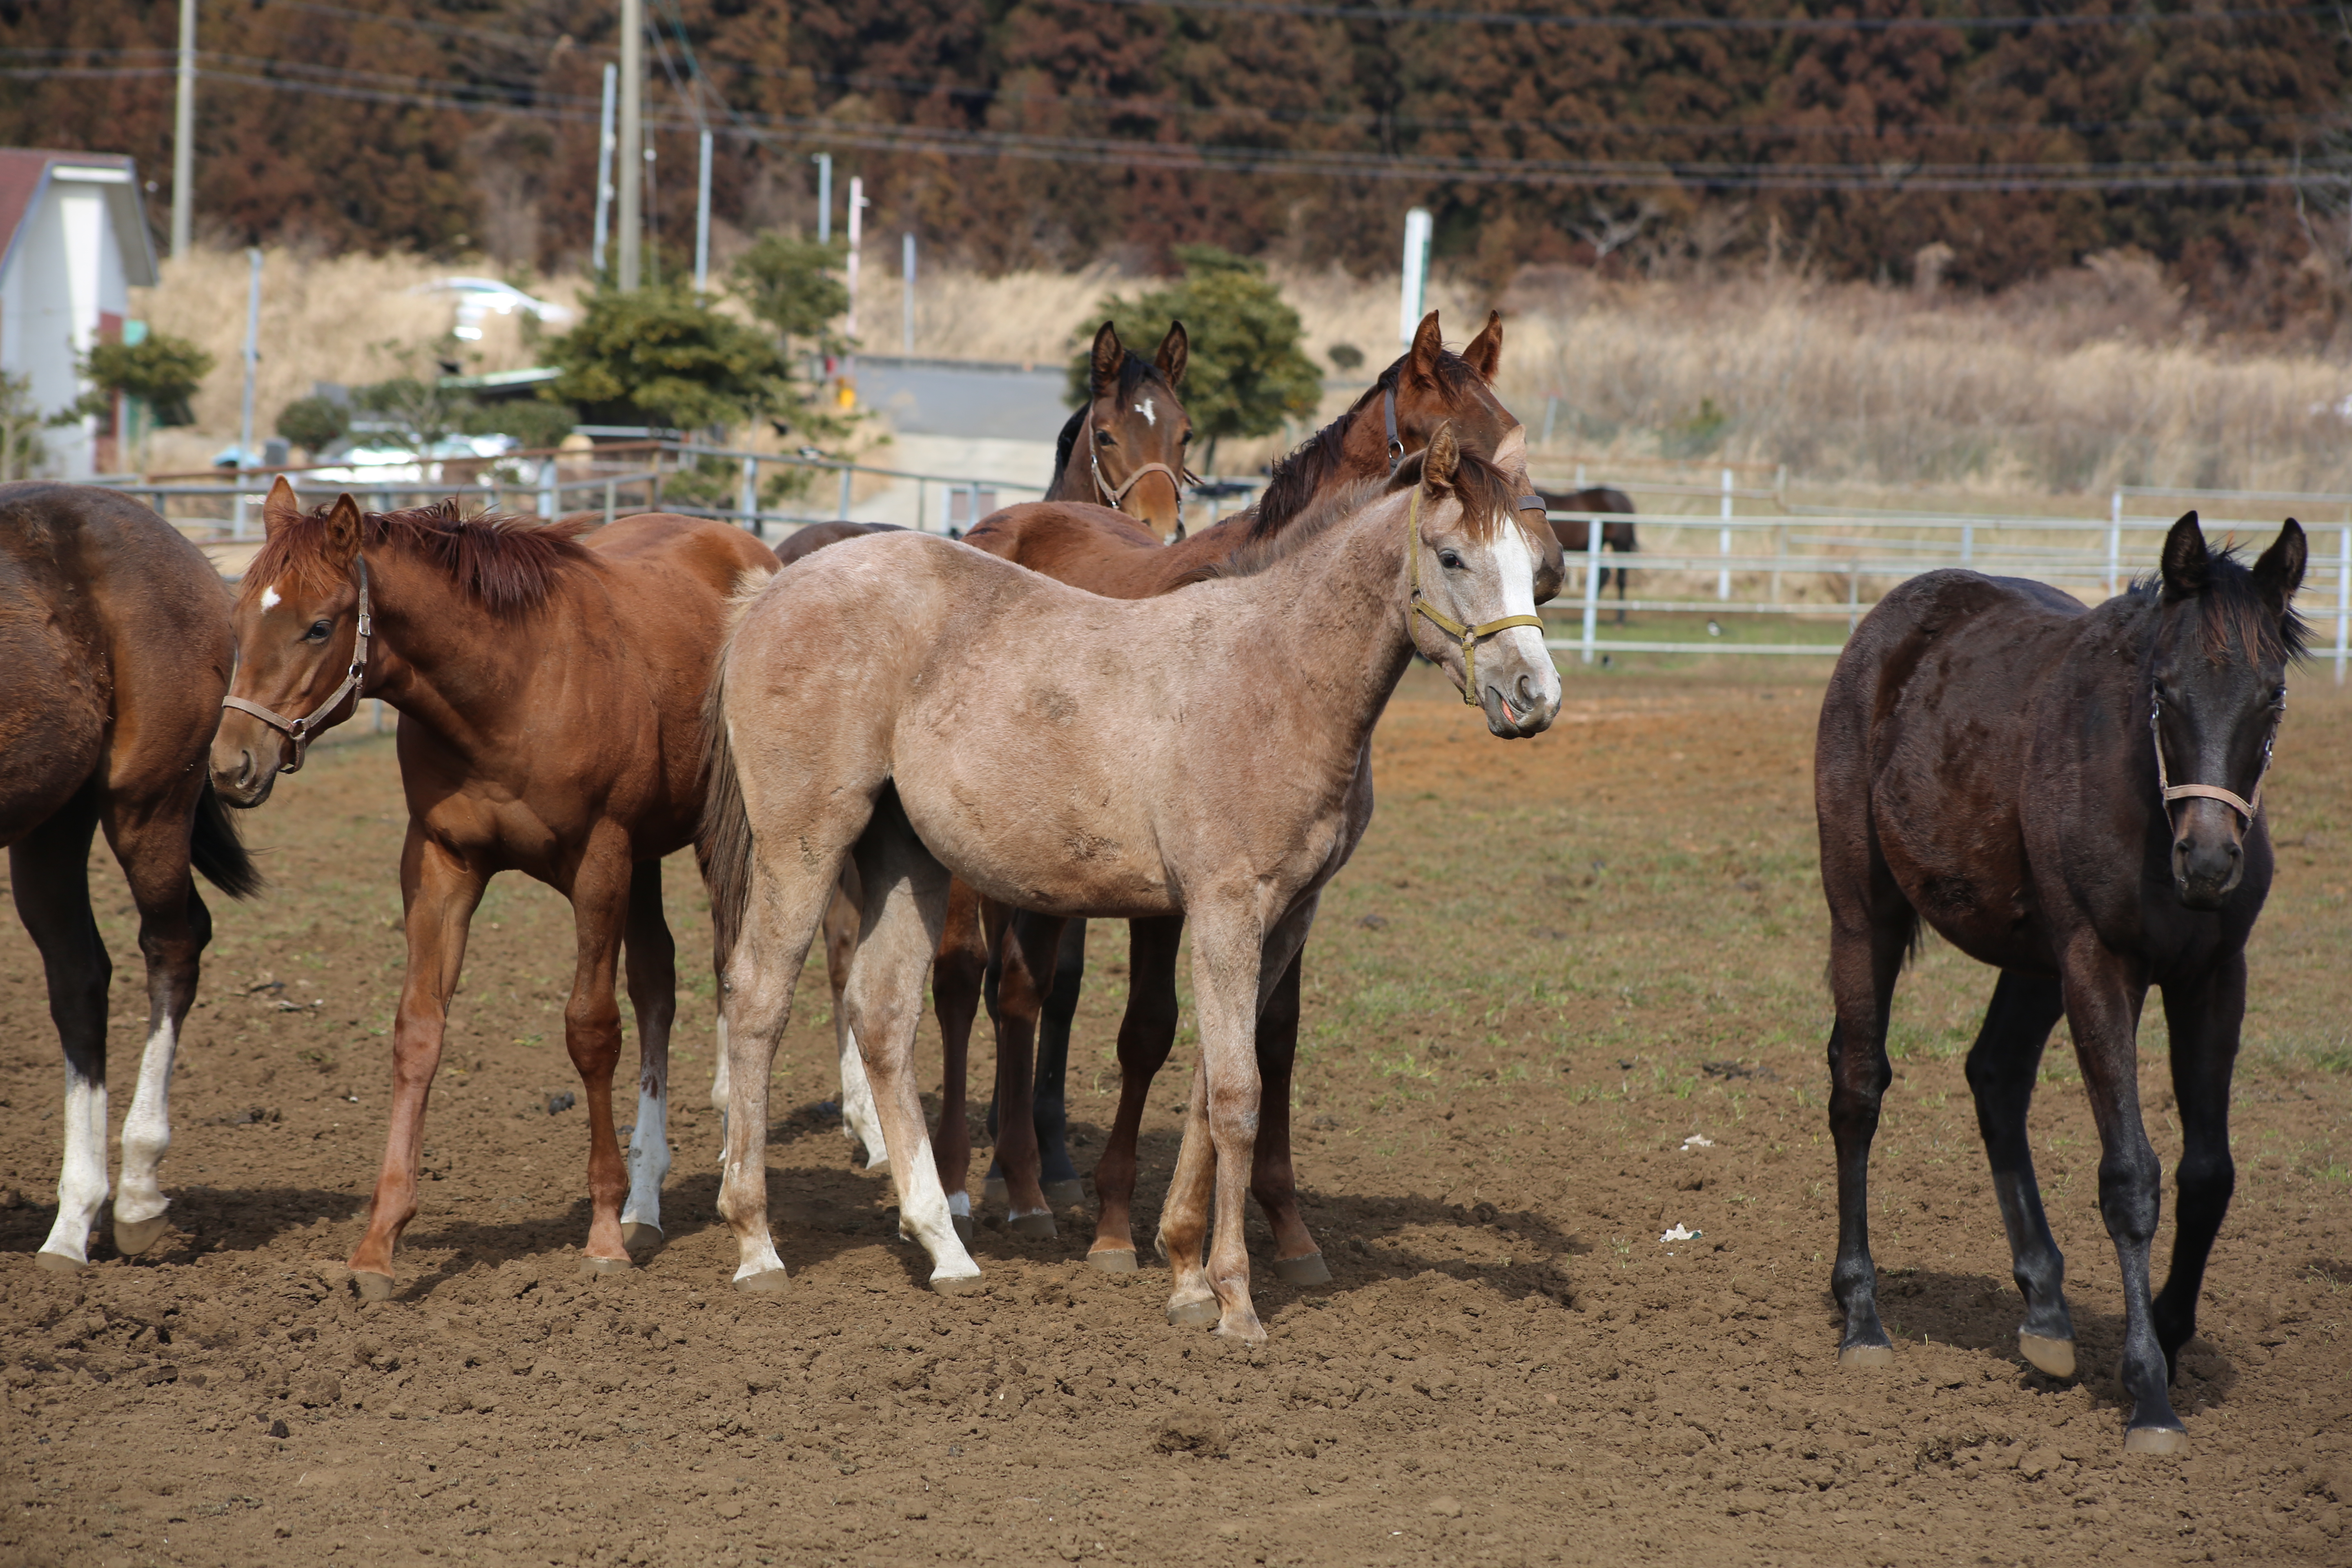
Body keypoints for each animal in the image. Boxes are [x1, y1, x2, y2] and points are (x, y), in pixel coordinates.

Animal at [0, 486, 258, 1278]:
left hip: (147, 801)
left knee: (173, 946)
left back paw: (138, 1195)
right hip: (51, 819)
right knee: (79, 979)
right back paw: (71, 1225)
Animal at [212, 482, 771, 1297]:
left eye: (319, 627)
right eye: (241, 618)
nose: (231, 766)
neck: (513, 686)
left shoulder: (600, 863)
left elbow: (590, 1031)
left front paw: (603, 1236)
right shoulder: (443, 863)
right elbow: (419, 1032)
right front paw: (378, 1246)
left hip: (716, 841)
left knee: (735, 967)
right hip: (646, 862)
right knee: (657, 986)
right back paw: (647, 1202)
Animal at [706, 425, 1571, 1335]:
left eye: (1533, 561)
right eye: (1453, 556)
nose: (1534, 696)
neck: (1276, 675)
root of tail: (772, 589)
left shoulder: (1284, 917)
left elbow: (1207, 1089)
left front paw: (1185, 1271)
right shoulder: (1226, 911)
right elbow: (1237, 1095)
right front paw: (1233, 1300)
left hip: (905, 860)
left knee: (882, 1020)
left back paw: (945, 1247)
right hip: (804, 845)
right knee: (758, 1000)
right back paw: (758, 1243)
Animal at [1815, 517, 2314, 1457]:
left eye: (2271, 697)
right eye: (2164, 691)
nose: (2209, 861)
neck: (2146, 803)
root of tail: (1886, 626)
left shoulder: (2213, 976)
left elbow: (2208, 1173)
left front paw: (2170, 1332)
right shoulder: (2099, 962)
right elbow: (2131, 1177)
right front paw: (2150, 1395)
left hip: (2035, 958)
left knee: (1996, 1075)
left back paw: (2045, 1314)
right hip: (1866, 912)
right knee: (1858, 1088)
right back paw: (1863, 1317)